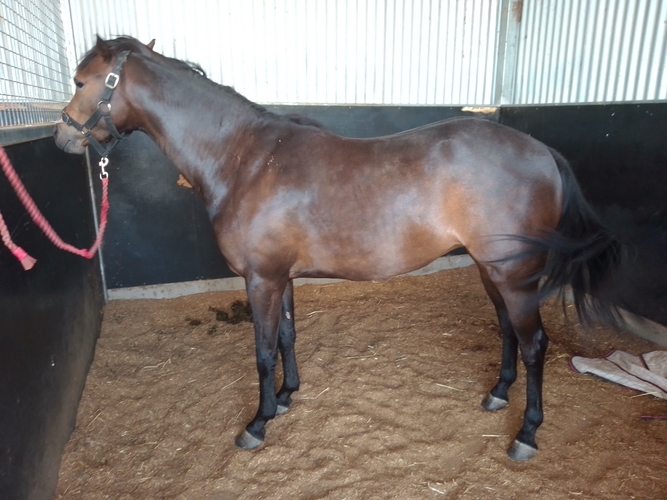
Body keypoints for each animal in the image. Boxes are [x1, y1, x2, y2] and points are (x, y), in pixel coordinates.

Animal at [54, 36, 622, 461]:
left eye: (80, 82)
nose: (62, 137)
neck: (244, 158)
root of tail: (543, 151)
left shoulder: (260, 278)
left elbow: (262, 351)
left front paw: (258, 423)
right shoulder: (278, 277)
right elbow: (286, 337)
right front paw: (287, 397)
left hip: (515, 275)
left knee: (534, 344)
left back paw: (526, 434)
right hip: (492, 270)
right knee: (507, 330)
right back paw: (498, 393)